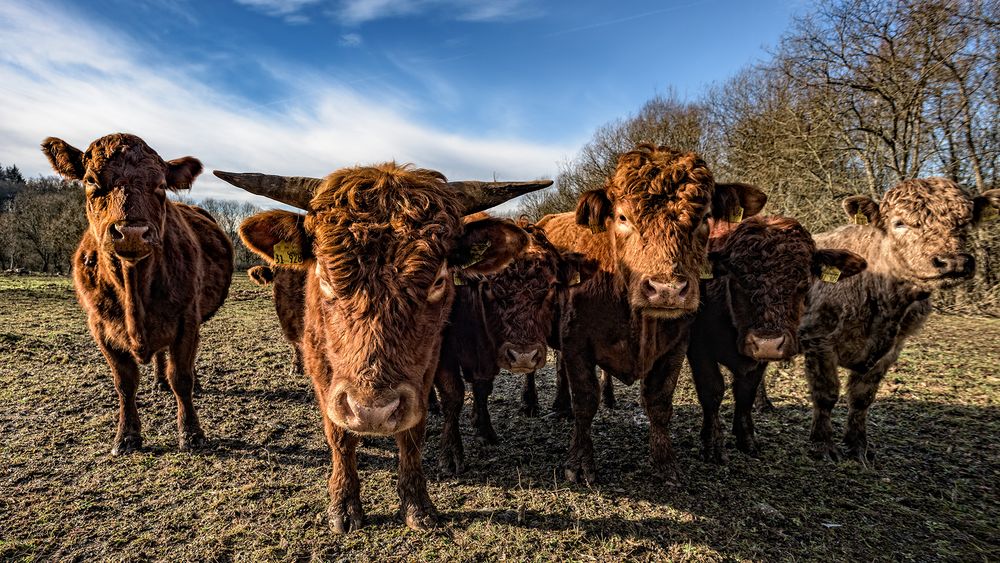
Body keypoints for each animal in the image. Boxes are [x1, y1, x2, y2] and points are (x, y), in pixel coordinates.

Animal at [218, 164, 548, 532]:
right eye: (325, 277)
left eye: (438, 280)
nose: (371, 412)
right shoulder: (323, 373)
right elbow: (340, 435)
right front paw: (343, 504)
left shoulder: (427, 369)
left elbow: (414, 432)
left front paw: (417, 504)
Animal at [436, 218, 592, 474]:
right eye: (489, 287)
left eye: (551, 286)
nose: (523, 356)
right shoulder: (443, 352)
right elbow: (452, 396)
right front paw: (451, 453)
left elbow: (482, 389)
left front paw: (484, 430)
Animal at [540, 145, 764, 484]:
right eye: (622, 217)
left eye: (705, 217)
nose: (667, 288)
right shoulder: (575, 341)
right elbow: (585, 401)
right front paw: (579, 463)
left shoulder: (676, 346)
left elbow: (659, 402)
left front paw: (664, 462)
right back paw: (559, 406)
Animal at [688, 215, 868, 462]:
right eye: (737, 278)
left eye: (804, 282)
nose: (767, 344)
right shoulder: (699, 348)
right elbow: (712, 391)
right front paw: (712, 445)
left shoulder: (757, 363)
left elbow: (746, 393)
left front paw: (747, 439)